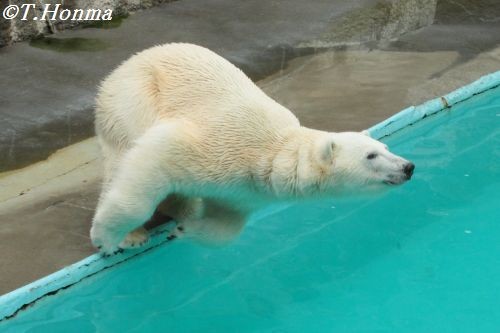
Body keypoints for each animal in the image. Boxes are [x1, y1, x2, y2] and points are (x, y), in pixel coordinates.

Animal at [90, 42, 414, 253]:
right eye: (371, 155)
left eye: (384, 146)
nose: (408, 167)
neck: (270, 156)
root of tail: (128, 62)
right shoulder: (220, 146)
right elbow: (160, 150)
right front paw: (107, 239)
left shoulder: (244, 193)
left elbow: (226, 227)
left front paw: (185, 230)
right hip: (132, 97)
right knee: (124, 154)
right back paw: (134, 234)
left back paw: (184, 209)